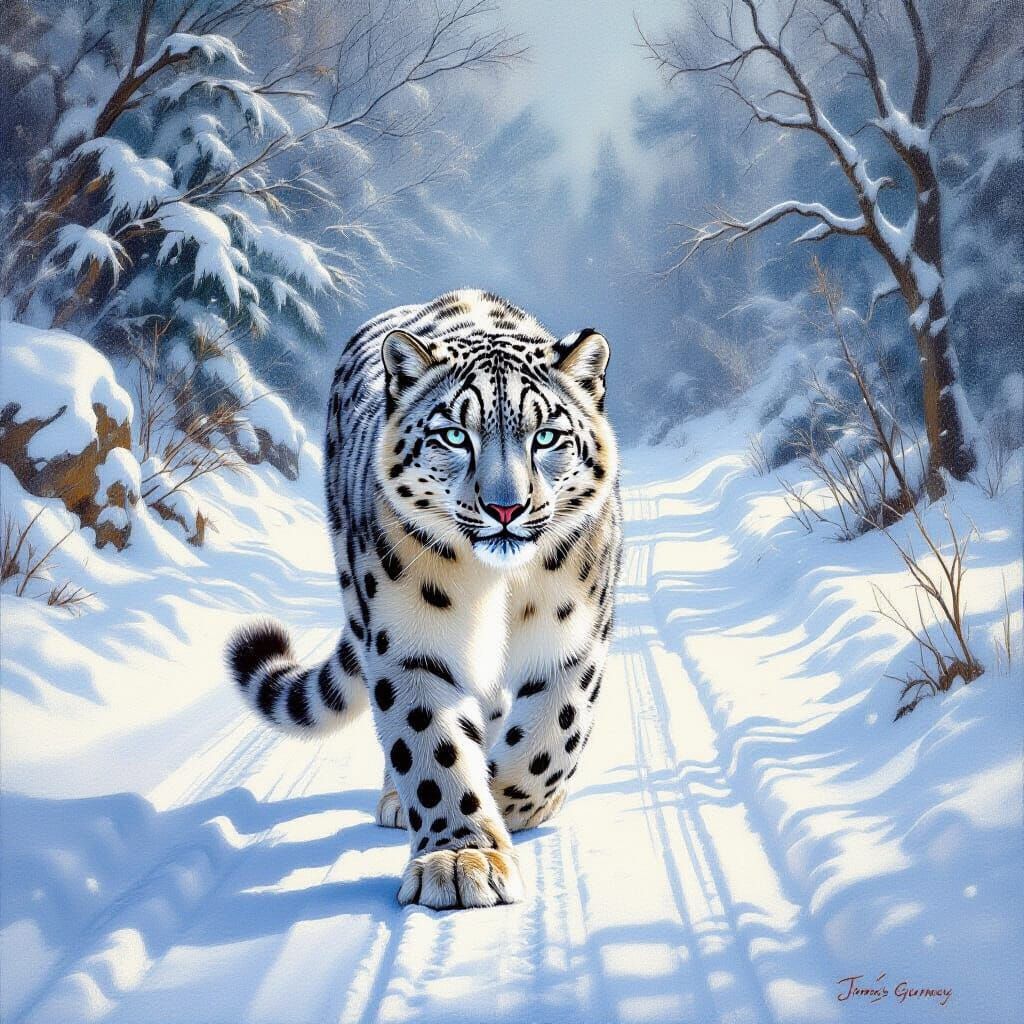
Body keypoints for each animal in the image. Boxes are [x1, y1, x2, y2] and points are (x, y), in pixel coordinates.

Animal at [227, 289, 621, 909]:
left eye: (547, 436)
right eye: (455, 436)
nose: (505, 507)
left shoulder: (573, 639)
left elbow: (549, 740)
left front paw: (509, 807)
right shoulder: (407, 644)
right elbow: (431, 747)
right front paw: (463, 857)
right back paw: (397, 800)